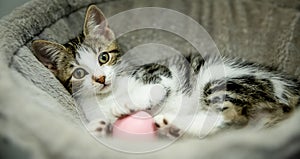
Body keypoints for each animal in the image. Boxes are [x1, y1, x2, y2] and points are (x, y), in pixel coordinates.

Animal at [31, 5, 298, 139]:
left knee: (233, 117)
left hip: (223, 82)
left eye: (103, 57)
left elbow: (155, 87)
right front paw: (99, 126)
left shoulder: (161, 73)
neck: (108, 95)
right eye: (78, 73)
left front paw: (126, 104)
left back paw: (172, 122)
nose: (101, 78)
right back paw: (172, 126)